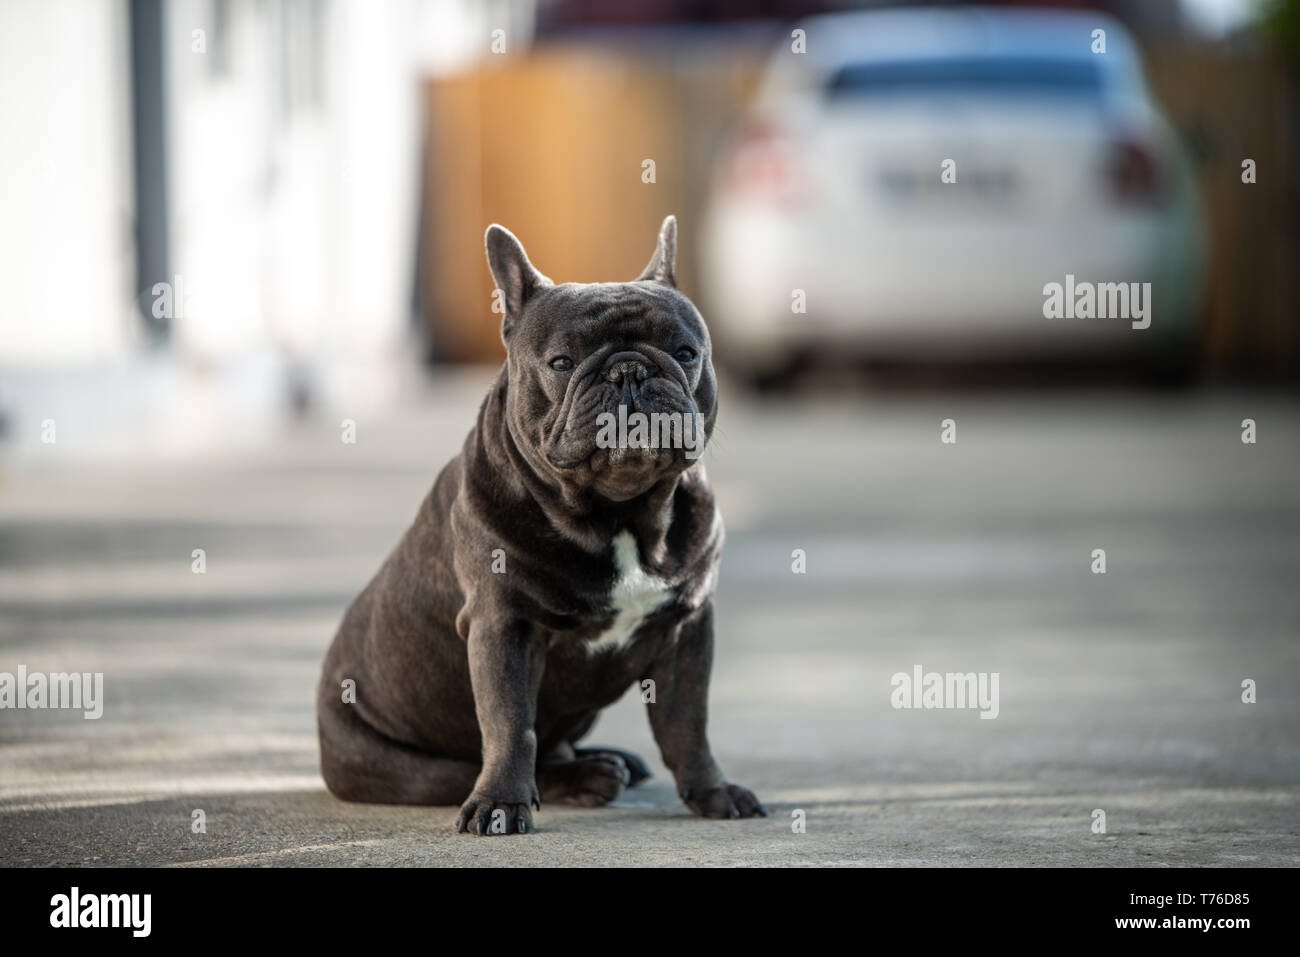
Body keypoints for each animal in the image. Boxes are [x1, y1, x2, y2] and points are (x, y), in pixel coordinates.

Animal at [315, 213, 759, 832]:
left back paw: (610, 762)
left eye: (686, 352)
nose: (628, 369)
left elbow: (688, 724)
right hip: (405, 765)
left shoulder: (687, 627)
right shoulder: (505, 626)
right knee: (501, 763)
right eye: (561, 363)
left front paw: (713, 793)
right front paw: (501, 804)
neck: (619, 513)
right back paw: (585, 777)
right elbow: (510, 724)